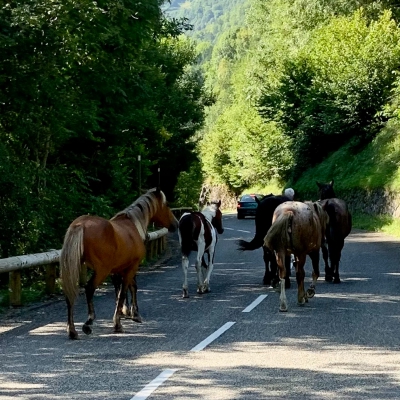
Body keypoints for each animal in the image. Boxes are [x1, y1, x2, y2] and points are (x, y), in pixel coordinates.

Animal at [59, 189, 178, 340]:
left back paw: (72, 331)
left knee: (69, 295)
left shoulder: (118, 270)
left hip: (75, 269)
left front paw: (128, 313)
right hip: (101, 271)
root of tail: (80, 225)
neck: (133, 225)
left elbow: (122, 290)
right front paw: (120, 322)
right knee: (89, 288)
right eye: (166, 204)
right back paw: (88, 323)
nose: (176, 224)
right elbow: (126, 290)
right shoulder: (131, 268)